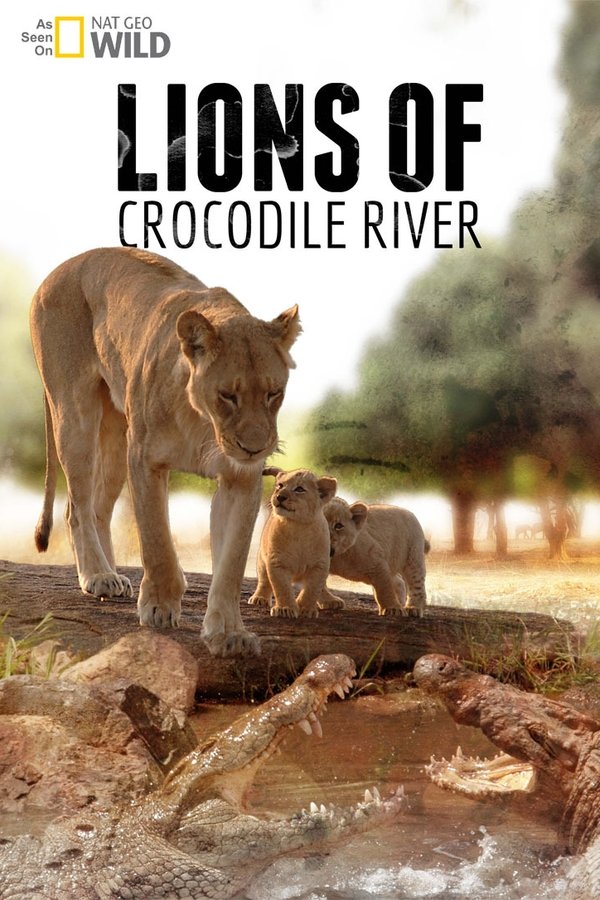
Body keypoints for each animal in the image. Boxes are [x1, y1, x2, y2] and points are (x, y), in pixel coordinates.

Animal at [30, 247, 301, 657]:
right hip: (75, 415)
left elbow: (232, 560)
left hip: (116, 435)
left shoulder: (240, 478)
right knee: (76, 508)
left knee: (98, 508)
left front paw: (229, 632)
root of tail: (57, 270)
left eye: (274, 393)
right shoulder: (145, 459)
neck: (203, 422)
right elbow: (156, 540)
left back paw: (112, 575)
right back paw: (97, 575)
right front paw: (159, 606)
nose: (254, 448)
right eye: (228, 395)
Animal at [248, 467, 337, 618]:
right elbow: (282, 587)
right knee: (264, 581)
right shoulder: (276, 562)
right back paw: (259, 598)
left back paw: (330, 601)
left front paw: (305, 608)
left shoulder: (320, 565)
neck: (297, 527)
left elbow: (312, 588)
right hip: (262, 560)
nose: (279, 496)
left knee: (322, 587)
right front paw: (285, 608)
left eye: (299, 489)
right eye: (280, 486)